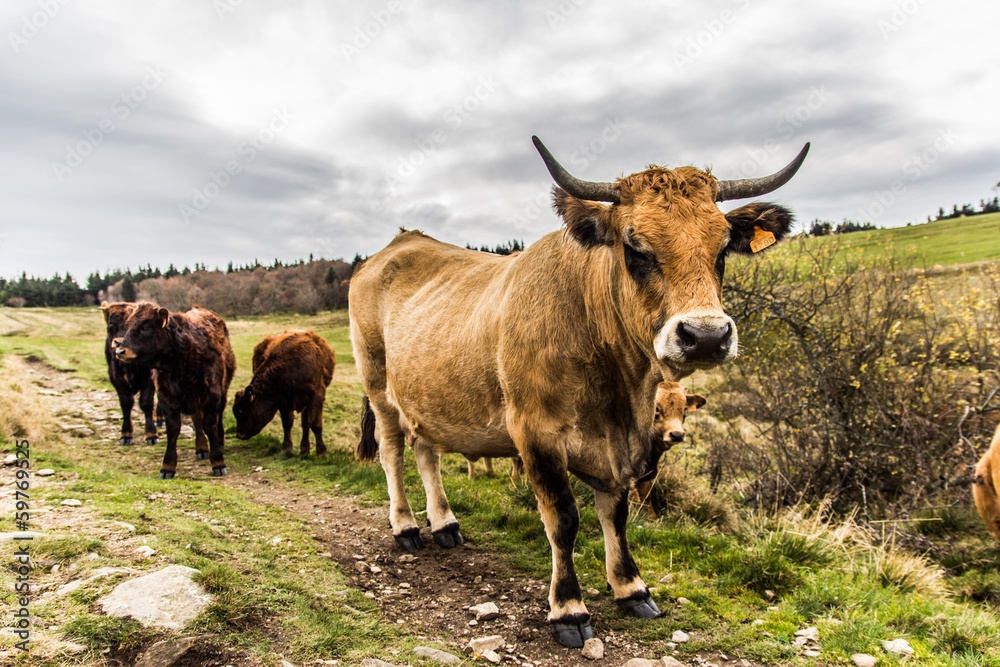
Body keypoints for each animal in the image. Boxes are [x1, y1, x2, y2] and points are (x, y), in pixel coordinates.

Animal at [100, 304, 163, 448]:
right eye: (111, 322)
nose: (119, 342)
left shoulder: (149, 377)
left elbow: (146, 403)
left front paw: (151, 434)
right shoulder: (115, 377)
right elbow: (126, 403)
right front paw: (126, 434)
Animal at [113, 302, 236, 480]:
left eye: (145, 327)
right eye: (128, 326)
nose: (120, 351)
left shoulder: (212, 395)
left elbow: (210, 425)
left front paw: (218, 462)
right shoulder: (166, 398)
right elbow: (173, 430)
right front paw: (167, 466)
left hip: (222, 392)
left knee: (215, 419)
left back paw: (218, 442)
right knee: (196, 421)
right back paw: (201, 448)